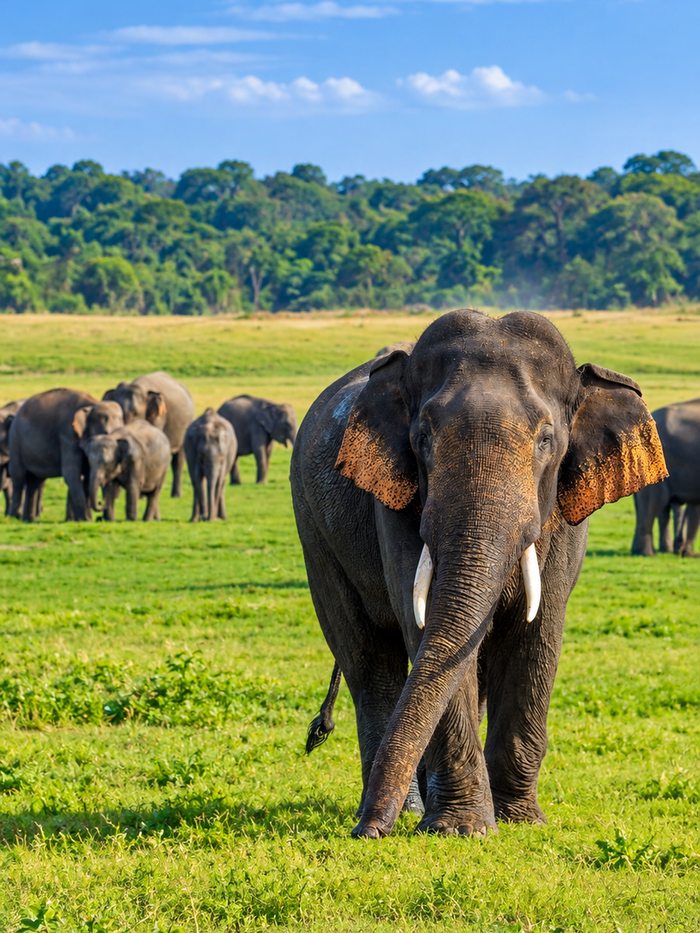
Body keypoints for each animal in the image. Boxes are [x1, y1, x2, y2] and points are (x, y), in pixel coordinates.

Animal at [9, 390, 123, 522]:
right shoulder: (67, 435)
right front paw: (86, 520)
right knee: (19, 478)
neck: (91, 405)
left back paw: (29, 520)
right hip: (15, 442)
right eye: (106, 433)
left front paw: (85, 520)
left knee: (35, 481)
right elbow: (71, 475)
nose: (101, 503)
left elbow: (87, 477)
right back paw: (13, 518)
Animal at [291, 309, 666, 839]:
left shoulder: (565, 516)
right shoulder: (397, 503)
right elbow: (425, 625)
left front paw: (519, 820)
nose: (365, 832)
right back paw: (407, 810)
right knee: (370, 663)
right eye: (422, 438)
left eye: (546, 439)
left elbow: (538, 634)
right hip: (315, 535)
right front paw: (461, 829)